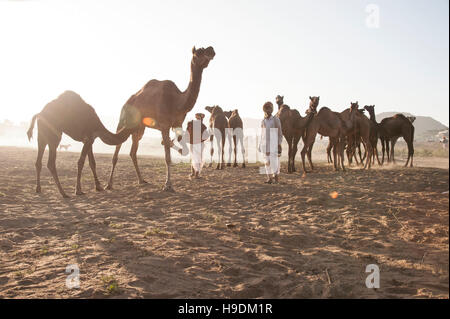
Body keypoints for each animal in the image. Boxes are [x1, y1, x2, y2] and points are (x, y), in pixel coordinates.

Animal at [105, 46, 214, 191]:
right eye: (199, 52)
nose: (211, 50)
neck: (177, 102)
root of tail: (127, 102)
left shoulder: (178, 124)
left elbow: (180, 147)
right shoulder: (164, 125)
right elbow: (167, 157)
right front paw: (168, 185)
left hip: (139, 128)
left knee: (133, 152)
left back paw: (141, 180)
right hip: (123, 120)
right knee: (118, 145)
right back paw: (109, 184)